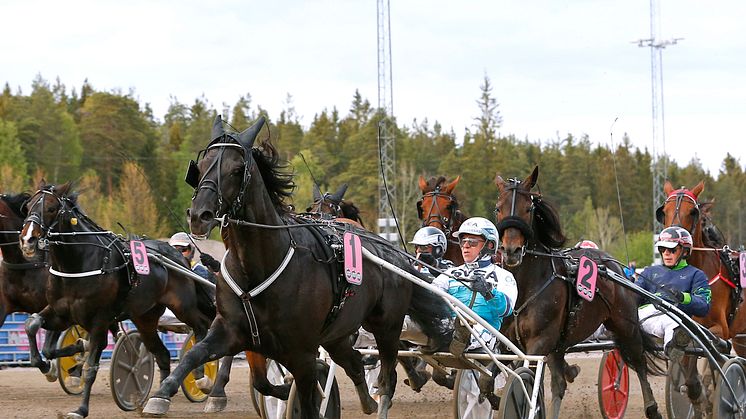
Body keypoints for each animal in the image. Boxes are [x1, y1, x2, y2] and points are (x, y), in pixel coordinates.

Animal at [18, 185, 215, 419]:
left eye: (50, 208)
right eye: (28, 206)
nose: (27, 240)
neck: (79, 263)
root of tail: (178, 257)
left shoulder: (100, 320)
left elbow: (91, 367)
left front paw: (81, 409)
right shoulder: (61, 312)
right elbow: (33, 327)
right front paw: (50, 364)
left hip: (182, 305)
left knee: (201, 326)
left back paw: (201, 378)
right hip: (145, 317)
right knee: (162, 354)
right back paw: (160, 399)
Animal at [142, 115, 450, 419]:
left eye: (237, 169)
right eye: (202, 166)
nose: (199, 215)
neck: (258, 267)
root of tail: (393, 254)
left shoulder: (301, 352)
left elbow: (308, 398)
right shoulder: (233, 331)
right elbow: (208, 360)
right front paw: (162, 395)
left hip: (387, 326)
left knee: (388, 377)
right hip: (339, 333)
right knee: (352, 362)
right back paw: (367, 400)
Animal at [494, 167, 664, 419]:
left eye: (528, 208)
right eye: (498, 208)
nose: (511, 250)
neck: (525, 286)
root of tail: (611, 263)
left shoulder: (539, 342)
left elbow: (529, 382)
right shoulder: (508, 342)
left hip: (626, 325)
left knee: (639, 361)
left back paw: (652, 408)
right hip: (561, 342)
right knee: (559, 383)